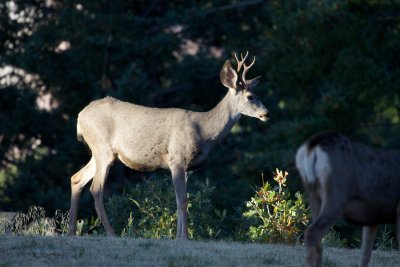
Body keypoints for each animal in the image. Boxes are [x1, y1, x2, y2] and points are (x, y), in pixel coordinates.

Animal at [69, 51, 270, 239]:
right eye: (250, 96)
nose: (267, 113)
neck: (204, 131)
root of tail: (80, 116)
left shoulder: (187, 167)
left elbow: (180, 200)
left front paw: (177, 237)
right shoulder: (177, 158)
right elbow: (182, 201)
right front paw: (185, 238)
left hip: (100, 153)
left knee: (76, 178)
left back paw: (71, 232)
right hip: (103, 149)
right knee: (96, 189)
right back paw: (111, 234)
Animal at [294, 132, 400, 267]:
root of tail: (313, 145)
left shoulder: (372, 218)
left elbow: (365, 255)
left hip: (314, 196)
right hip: (337, 196)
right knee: (312, 233)